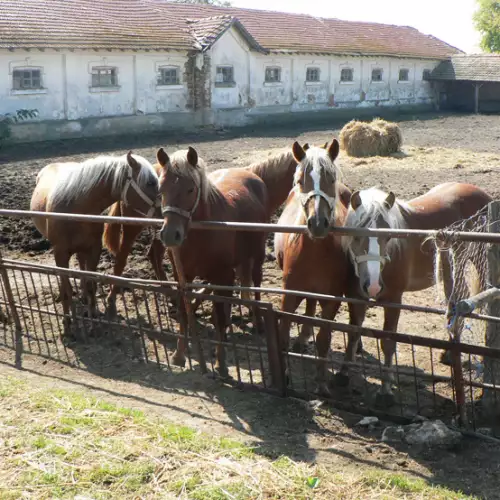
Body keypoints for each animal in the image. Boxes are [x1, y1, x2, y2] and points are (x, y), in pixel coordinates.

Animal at [31, 150, 158, 334]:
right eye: (150, 182)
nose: (164, 214)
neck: (74, 210)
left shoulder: (93, 250)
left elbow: (91, 284)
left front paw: (93, 320)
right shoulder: (60, 253)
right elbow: (67, 288)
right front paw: (67, 323)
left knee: (82, 266)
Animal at [157, 145, 300, 376]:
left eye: (191, 189)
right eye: (161, 189)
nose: (170, 235)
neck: (201, 234)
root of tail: (252, 174)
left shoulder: (222, 275)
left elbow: (220, 318)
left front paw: (221, 364)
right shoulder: (183, 276)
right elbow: (184, 312)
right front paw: (179, 355)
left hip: (257, 255)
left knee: (255, 284)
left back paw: (258, 322)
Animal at [274, 138, 364, 394]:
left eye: (330, 179)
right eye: (300, 181)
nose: (317, 223)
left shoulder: (332, 299)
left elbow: (324, 339)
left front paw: (322, 382)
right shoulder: (289, 293)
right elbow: (282, 333)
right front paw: (284, 377)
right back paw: (303, 338)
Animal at [342, 184, 490, 406]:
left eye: (388, 237)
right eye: (356, 235)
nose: (374, 286)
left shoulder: (394, 300)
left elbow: (388, 343)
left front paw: (385, 391)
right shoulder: (357, 297)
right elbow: (352, 333)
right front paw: (342, 376)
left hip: (479, 261)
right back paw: (448, 353)